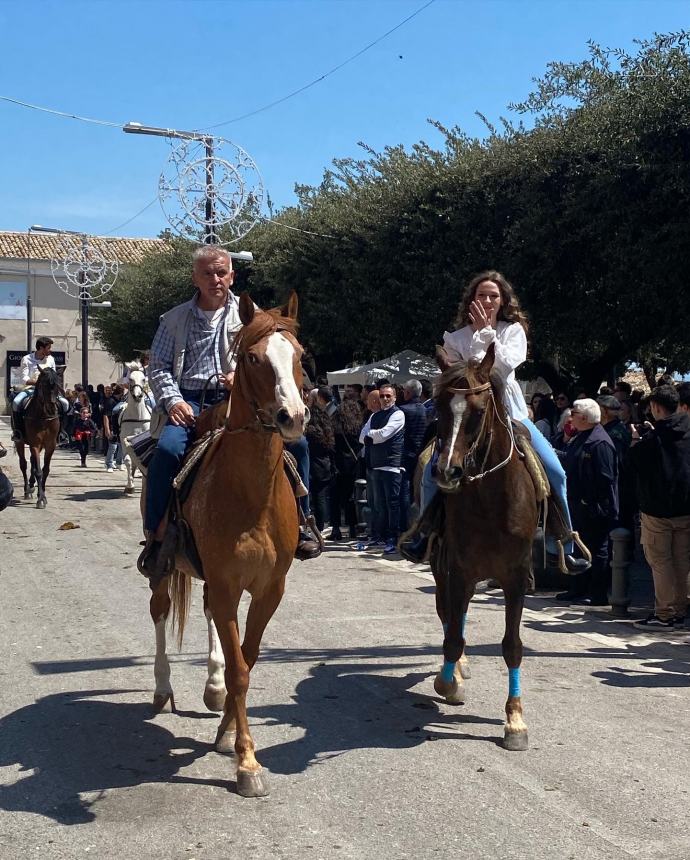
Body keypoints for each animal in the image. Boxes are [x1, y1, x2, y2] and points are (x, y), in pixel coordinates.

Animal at [15, 364, 60, 510]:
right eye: (44, 384)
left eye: (57, 385)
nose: (52, 409)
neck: (44, 416)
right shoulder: (35, 443)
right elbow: (39, 471)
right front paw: (40, 499)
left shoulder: (50, 445)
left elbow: (45, 470)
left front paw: (43, 495)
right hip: (19, 442)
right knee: (23, 464)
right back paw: (27, 491)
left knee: (32, 462)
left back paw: (31, 486)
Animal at [121, 366, 153, 494]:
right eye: (130, 379)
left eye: (143, 379)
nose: (138, 396)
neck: (137, 417)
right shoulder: (124, 440)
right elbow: (128, 461)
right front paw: (129, 486)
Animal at [149, 290, 306, 800]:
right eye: (253, 358)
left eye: (299, 356)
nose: (293, 417)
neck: (252, 495)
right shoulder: (223, 579)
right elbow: (241, 668)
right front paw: (247, 762)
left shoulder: (268, 588)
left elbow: (247, 661)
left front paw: (226, 731)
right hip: (164, 567)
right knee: (160, 611)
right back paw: (162, 688)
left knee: (210, 618)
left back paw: (212, 688)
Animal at [430, 342, 536, 752]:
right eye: (439, 406)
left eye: (477, 413)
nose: (447, 472)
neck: (493, 500)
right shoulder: (458, 568)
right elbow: (452, 637)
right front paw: (448, 682)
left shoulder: (515, 577)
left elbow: (512, 645)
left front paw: (515, 721)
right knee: (449, 614)